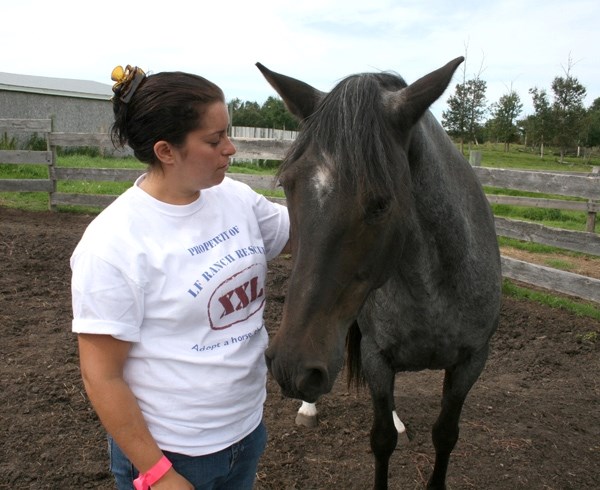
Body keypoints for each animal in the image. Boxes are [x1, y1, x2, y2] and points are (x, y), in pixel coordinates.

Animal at [256, 58, 502, 490]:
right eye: (287, 185)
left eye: (381, 203)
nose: (289, 367)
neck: (434, 292)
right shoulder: (376, 357)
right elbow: (382, 439)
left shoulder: (471, 362)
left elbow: (445, 434)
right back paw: (309, 407)